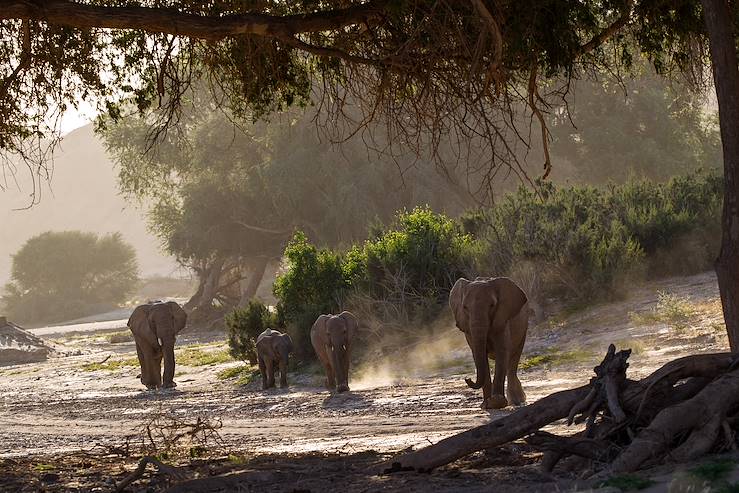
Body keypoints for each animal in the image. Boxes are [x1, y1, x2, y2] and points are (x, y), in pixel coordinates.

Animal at [448, 276, 528, 408]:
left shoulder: (502, 320)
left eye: (492, 305)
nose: (467, 378)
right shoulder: (468, 330)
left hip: (524, 328)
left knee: (513, 360)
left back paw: (517, 401)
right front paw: (486, 405)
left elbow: (502, 352)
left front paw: (496, 402)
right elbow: (478, 355)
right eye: (465, 307)